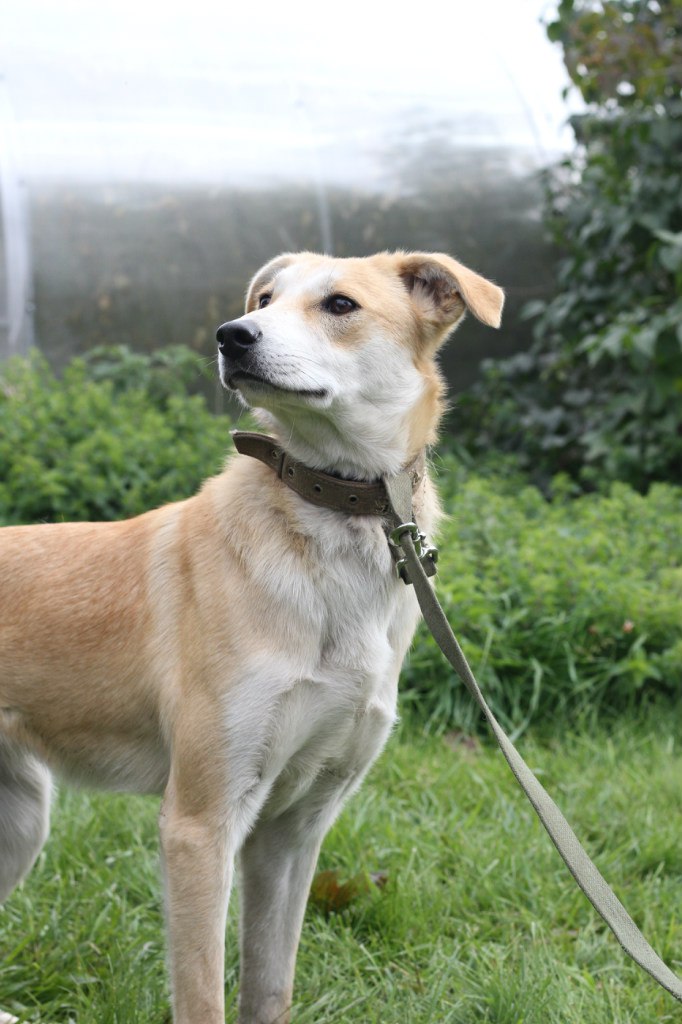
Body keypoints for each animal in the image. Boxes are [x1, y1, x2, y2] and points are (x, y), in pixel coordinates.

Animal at [0, 251, 503, 1024]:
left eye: (340, 304)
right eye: (264, 300)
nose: (231, 335)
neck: (331, 522)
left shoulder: (293, 830)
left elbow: (270, 985)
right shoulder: (199, 825)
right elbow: (204, 995)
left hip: (19, 821)